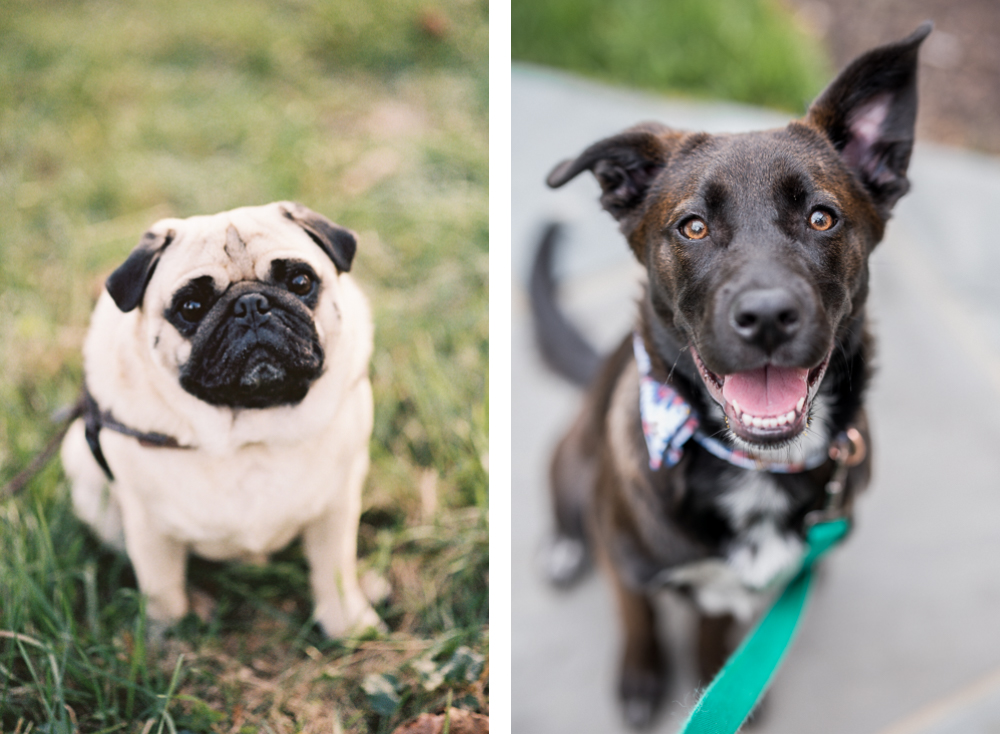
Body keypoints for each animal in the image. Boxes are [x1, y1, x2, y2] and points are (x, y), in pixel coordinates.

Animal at [532, 24, 928, 732]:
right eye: (693, 226)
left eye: (822, 217)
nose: (767, 316)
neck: (754, 471)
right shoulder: (628, 564)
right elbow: (641, 620)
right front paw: (645, 679)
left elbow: (719, 639)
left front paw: (723, 680)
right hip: (569, 458)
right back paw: (563, 549)